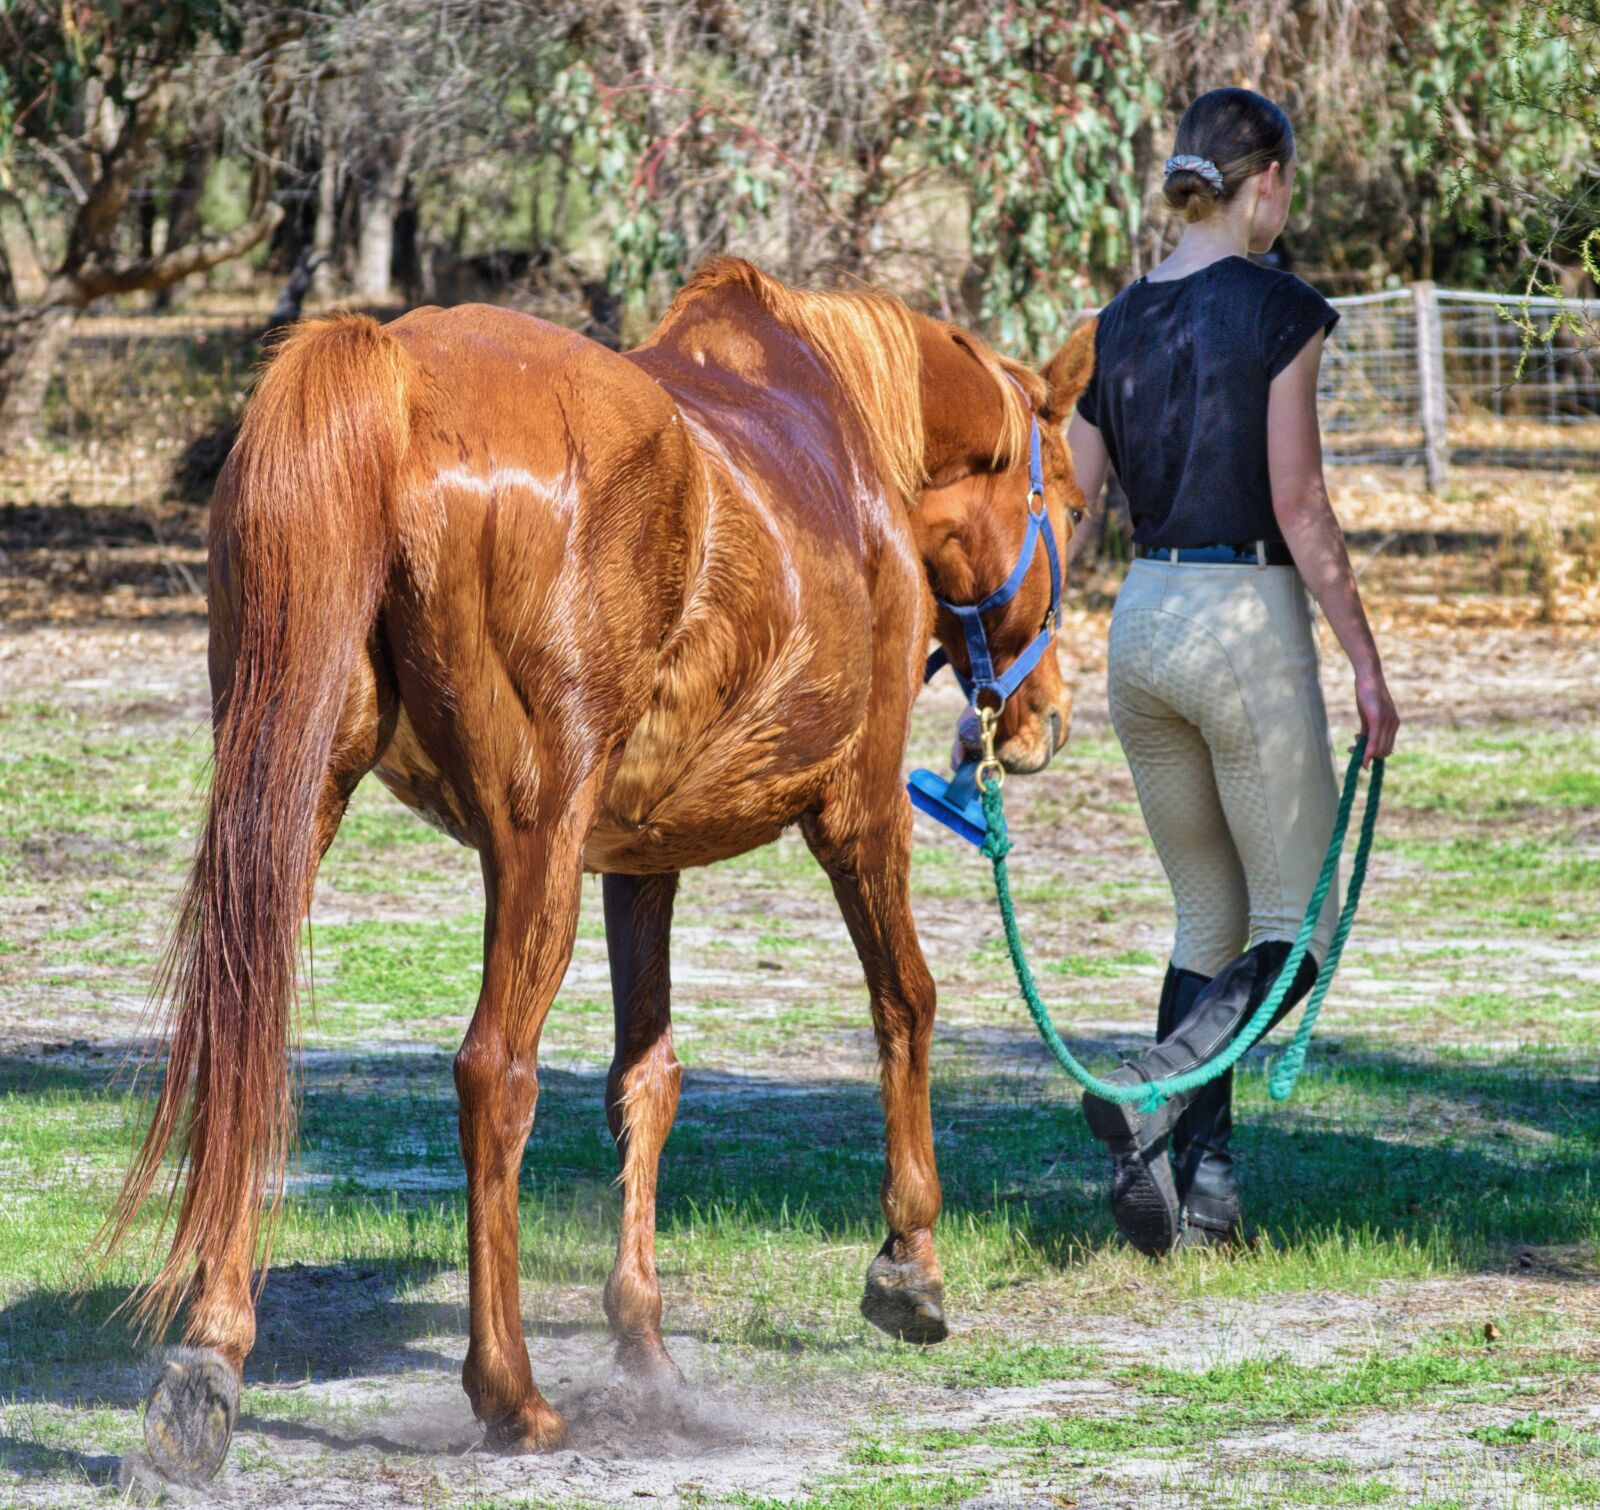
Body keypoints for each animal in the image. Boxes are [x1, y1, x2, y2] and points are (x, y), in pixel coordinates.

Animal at [105, 255, 1096, 1484]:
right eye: (1073, 506)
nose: (1044, 719)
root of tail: (393, 375)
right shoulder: (860, 814)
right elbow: (905, 1001)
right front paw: (909, 1260)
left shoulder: (638, 861)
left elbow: (646, 1080)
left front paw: (646, 1348)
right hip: (532, 848)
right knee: (494, 1075)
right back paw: (511, 1395)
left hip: (292, 799)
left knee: (248, 1039)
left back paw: (210, 1361)